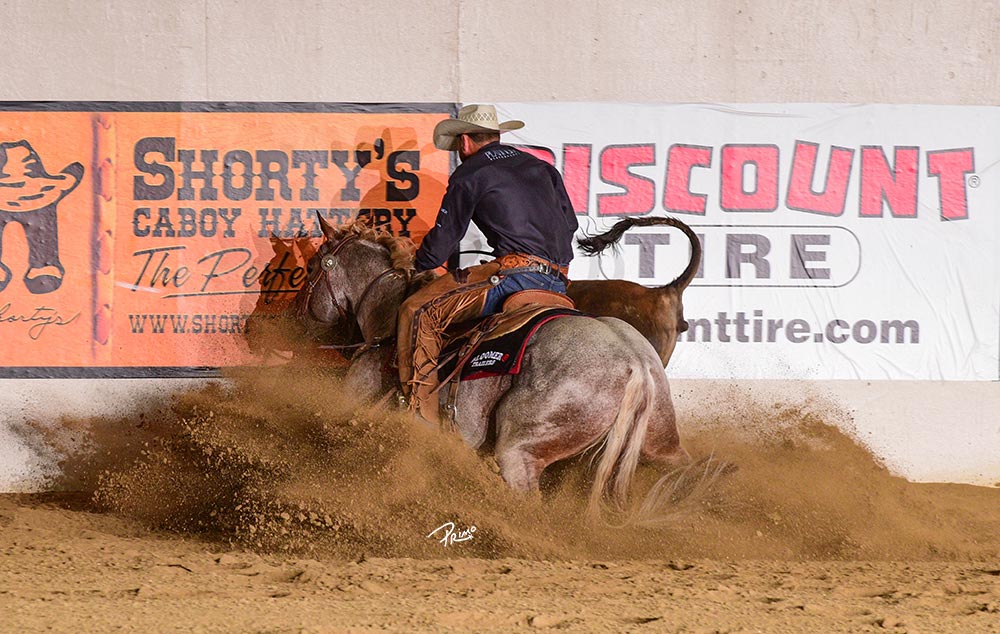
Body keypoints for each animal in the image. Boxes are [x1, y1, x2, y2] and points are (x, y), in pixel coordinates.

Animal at [290, 217, 688, 508]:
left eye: (311, 267)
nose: (295, 316)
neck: (386, 318)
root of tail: (634, 363)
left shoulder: (355, 400)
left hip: (519, 452)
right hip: (660, 446)